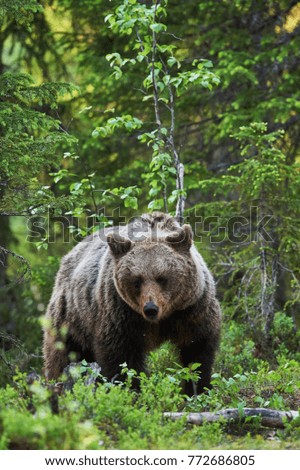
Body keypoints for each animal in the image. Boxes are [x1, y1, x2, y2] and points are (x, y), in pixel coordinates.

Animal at [42, 212, 220, 392]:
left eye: (162, 278)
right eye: (137, 280)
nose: (150, 308)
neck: (162, 319)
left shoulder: (191, 309)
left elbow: (197, 351)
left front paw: (198, 388)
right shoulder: (121, 314)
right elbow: (121, 358)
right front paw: (132, 389)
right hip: (71, 318)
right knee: (61, 357)